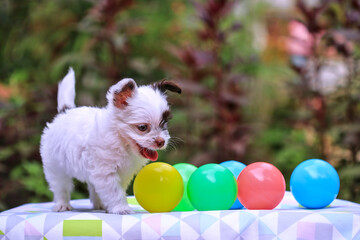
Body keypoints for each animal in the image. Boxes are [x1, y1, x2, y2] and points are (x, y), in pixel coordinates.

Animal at [39, 68, 181, 215]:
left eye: (164, 123)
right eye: (142, 127)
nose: (161, 141)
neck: (121, 140)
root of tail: (65, 112)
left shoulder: (122, 173)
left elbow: (116, 190)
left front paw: (113, 206)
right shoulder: (105, 172)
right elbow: (114, 192)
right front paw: (121, 208)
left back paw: (99, 205)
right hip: (55, 166)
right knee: (61, 187)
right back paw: (62, 205)